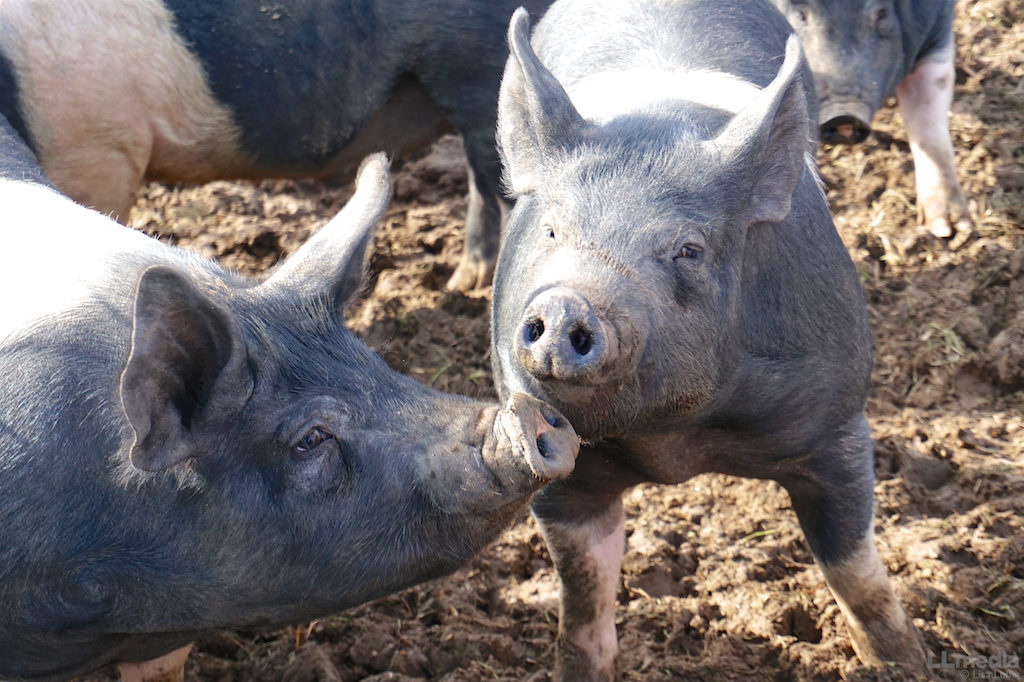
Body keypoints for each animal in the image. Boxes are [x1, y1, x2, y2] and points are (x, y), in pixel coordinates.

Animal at [489, 2, 929, 675]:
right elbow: (583, 591)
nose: (566, 304)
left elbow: (854, 570)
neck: (675, 439)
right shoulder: (554, 465)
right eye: (553, 231)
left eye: (688, 248)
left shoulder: (837, 424)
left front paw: (911, 663)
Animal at [770, 0, 970, 241]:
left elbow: (929, 126)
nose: (842, 115)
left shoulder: (936, 29)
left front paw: (948, 229)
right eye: (802, 15)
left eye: (881, 13)